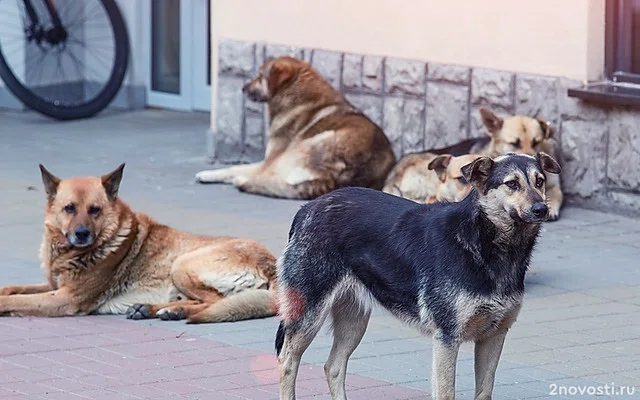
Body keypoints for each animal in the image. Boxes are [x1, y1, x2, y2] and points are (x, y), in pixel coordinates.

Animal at [0, 164, 280, 324]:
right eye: (69, 208)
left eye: (94, 210)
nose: (82, 234)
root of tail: (271, 265)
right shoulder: (52, 286)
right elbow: (11, 289)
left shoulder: (65, 298)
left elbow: (14, 300)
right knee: (209, 301)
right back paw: (160, 310)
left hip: (182, 264)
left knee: (215, 300)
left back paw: (170, 311)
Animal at [195, 55, 396, 199]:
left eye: (260, 76)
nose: (243, 88)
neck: (295, 95)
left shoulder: (270, 160)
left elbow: (234, 168)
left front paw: (207, 174)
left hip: (303, 147)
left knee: (269, 179)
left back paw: (244, 181)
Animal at [276, 152, 560, 398]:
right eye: (512, 184)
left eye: (540, 181)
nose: (541, 209)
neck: (483, 241)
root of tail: (307, 209)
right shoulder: (447, 338)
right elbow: (446, 392)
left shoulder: (494, 336)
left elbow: (484, 391)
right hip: (308, 315)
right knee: (286, 361)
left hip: (353, 320)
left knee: (333, 366)